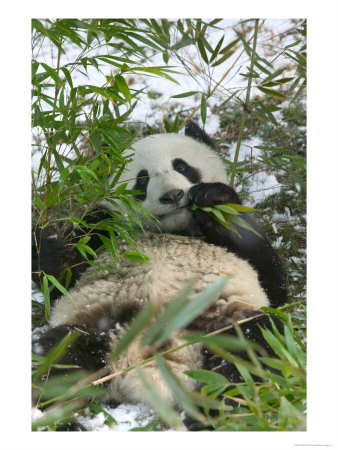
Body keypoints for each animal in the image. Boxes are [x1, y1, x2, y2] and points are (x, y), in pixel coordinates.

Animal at [31, 122, 286, 426]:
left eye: (182, 166)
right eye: (142, 181)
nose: (173, 195)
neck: (173, 229)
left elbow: (269, 277)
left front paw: (212, 198)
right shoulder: (102, 231)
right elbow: (59, 279)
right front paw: (49, 243)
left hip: (222, 326)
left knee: (254, 348)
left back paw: (214, 411)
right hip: (95, 330)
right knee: (51, 356)